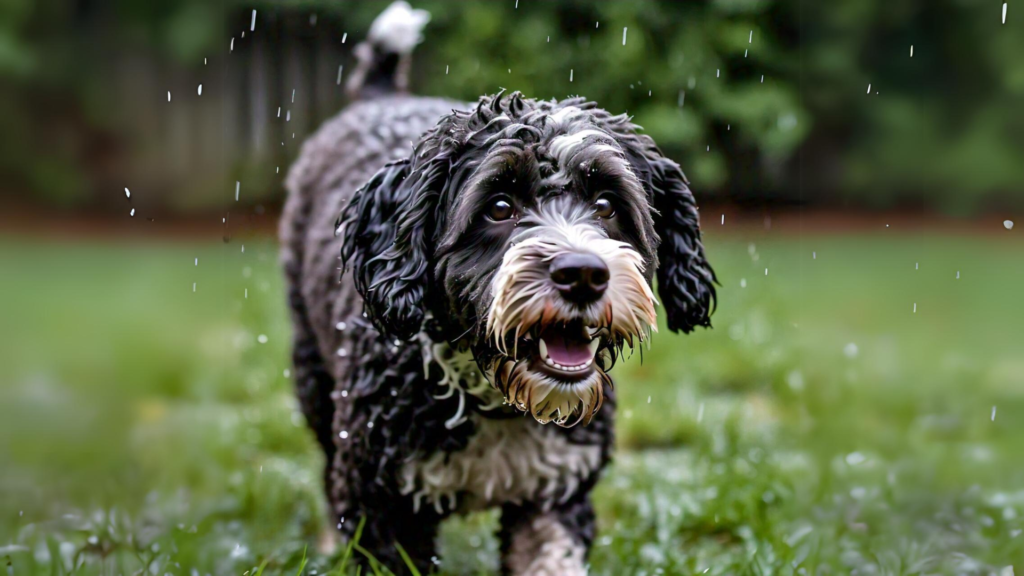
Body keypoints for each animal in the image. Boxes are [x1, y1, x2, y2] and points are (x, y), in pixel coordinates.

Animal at [278, 3, 712, 569]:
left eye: (607, 204)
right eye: (500, 207)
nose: (583, 273)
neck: (493, 400)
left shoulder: (555, 496)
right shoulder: (382, 507)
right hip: (313, 375)